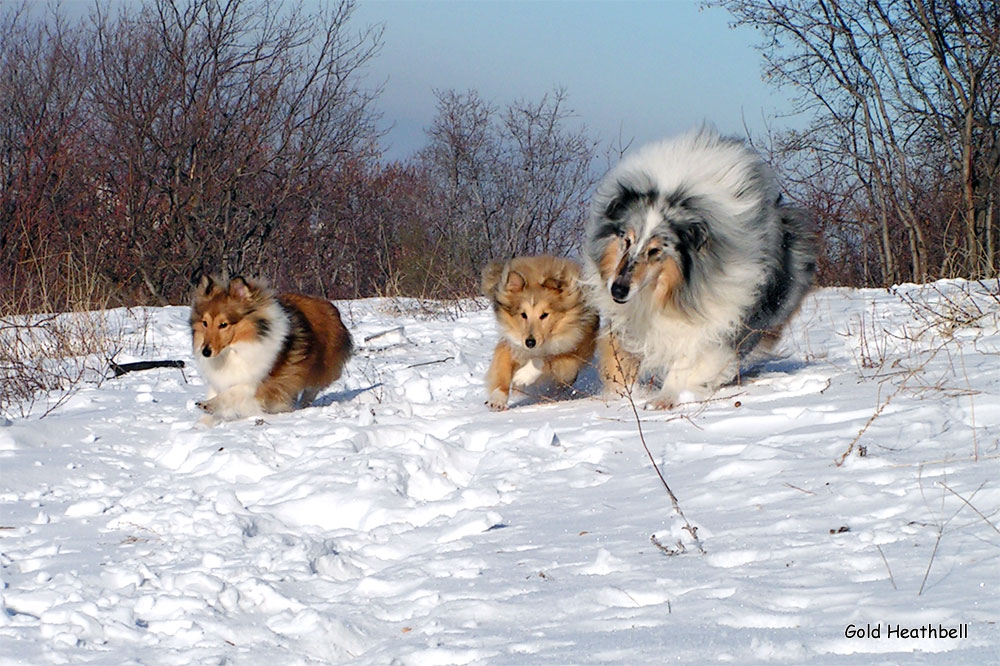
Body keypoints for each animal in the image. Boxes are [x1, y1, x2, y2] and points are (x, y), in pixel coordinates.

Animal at [190, 276, 352, 426]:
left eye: (223, 324)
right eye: (205, 323)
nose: (205, 352)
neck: (234, 350)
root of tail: (329, 305)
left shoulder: (260, 382)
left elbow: (232, 393)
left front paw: (208, 404)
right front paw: (201, 425)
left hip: (320, 368)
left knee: (312, 389)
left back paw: (302, 406)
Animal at [480, 255, 596, 408]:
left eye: (544, 315)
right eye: (523, 314)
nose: (530, 342)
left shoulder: (574, 351)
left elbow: (546, 359)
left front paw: (522, 376)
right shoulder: (511, 344)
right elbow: (502, 367)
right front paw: (497, 399)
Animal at [584, 124, 816, 404]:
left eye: (655, 250)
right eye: (626, 240)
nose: (617, 290)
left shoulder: (720, 312)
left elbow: (693, 355)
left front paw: (664, 398)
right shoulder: (626, 318)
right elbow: (619, 357)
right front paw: (619, 394)